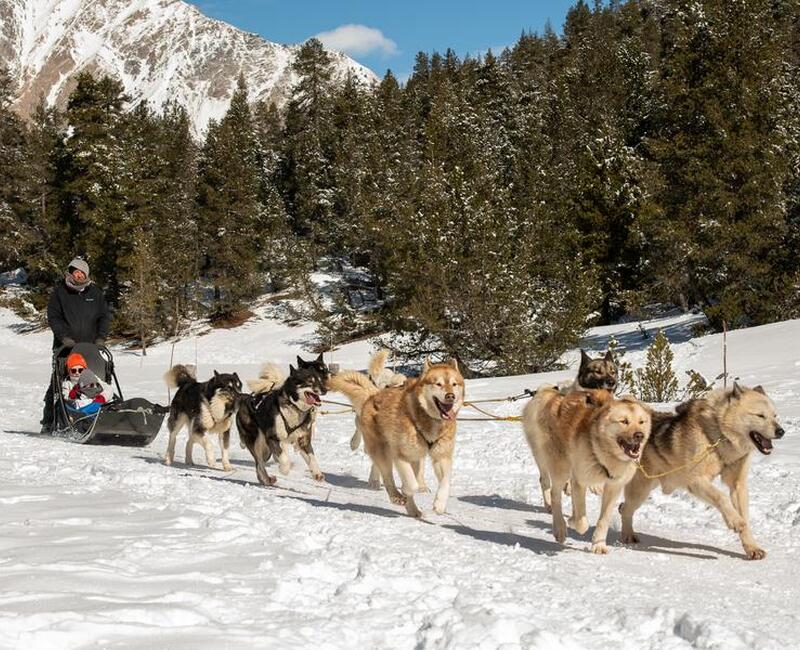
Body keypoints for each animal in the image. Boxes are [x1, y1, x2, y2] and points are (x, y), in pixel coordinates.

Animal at [236, 356, 326, 484]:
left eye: (320, 380)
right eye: (310, 381)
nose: (325, 389)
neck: (294, 407)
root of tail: (246, 398)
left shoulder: (303, 440)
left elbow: (311, 457)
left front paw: (317, 473)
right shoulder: (273, 438)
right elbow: (284, 458)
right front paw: (284, 469)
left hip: (266, 450)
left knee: (260, 464)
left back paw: (266, 479)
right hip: (256, 442)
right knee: (259, 462)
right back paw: (267, 478)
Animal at [524, 384, 648, 552]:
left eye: (641, 421)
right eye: (624, 421)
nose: (639, 435)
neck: (602, 451)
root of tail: (550, 393)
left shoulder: (613, 487)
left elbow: (604, 519)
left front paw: (599, 544)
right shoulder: (580, 480)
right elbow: (582, 522)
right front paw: (574, 522)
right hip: (560, 467)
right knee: (554, 494)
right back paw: (560, 527)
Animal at [620, 382, 784, 560]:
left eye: (775, 416)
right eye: (760, 415)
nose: (781, 431)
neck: (719, 435)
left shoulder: (738, 486)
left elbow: (745, 518)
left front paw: (752, 547)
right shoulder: (696, 481)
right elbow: (721, 498)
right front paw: (735, 521)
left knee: (622, 507)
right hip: (640, 492)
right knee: (625, 509)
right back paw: (628, 536)